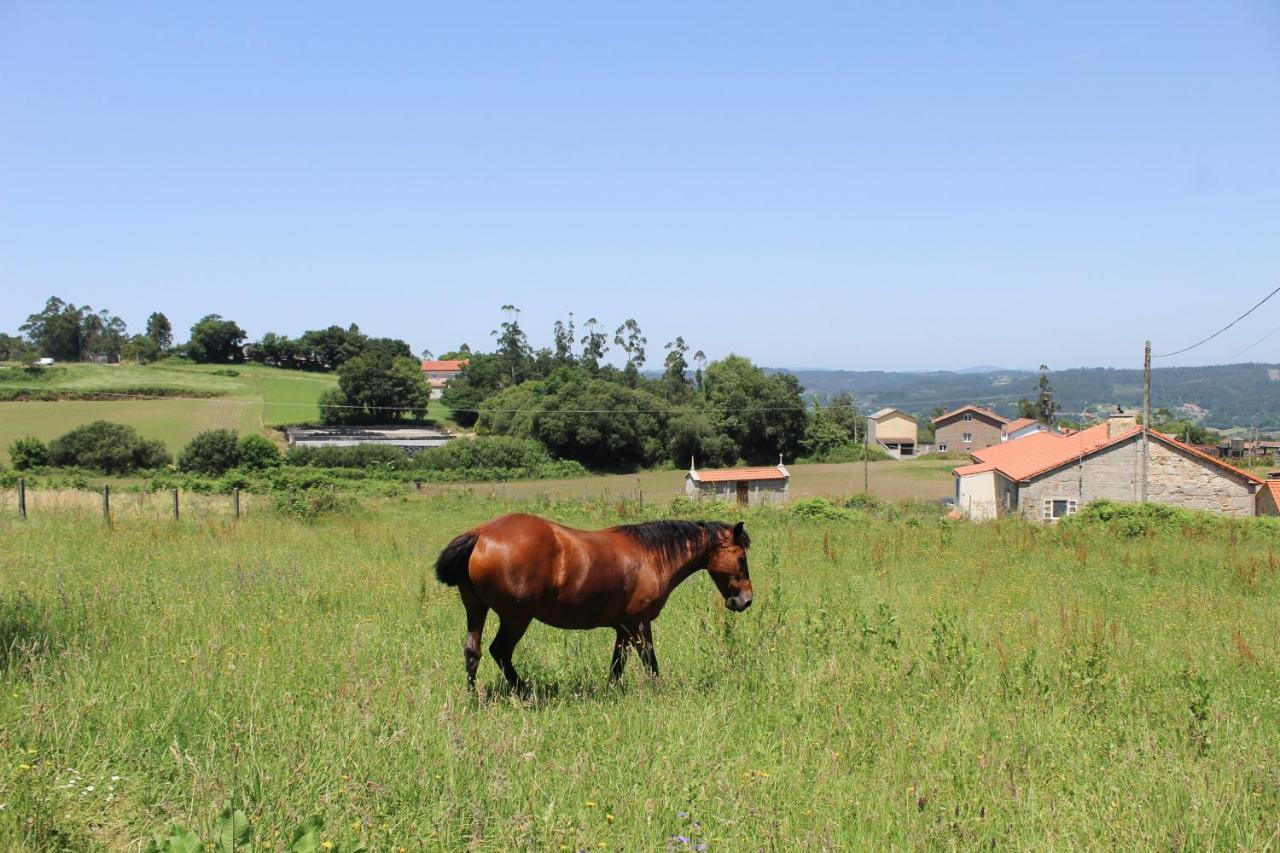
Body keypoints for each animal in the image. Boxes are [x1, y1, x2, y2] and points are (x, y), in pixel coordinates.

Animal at [435, 507, 747, 686]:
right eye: (742, 557)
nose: (745, 600)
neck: (650, 556)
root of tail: (480, 534)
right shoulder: (639, 623)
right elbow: (649, 661)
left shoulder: (623, 627)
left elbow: (618, 665)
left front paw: (611, 691)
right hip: (516, 618)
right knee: (499, 651)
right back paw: (522, 690)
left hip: (476, 609)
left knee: (473, 652)